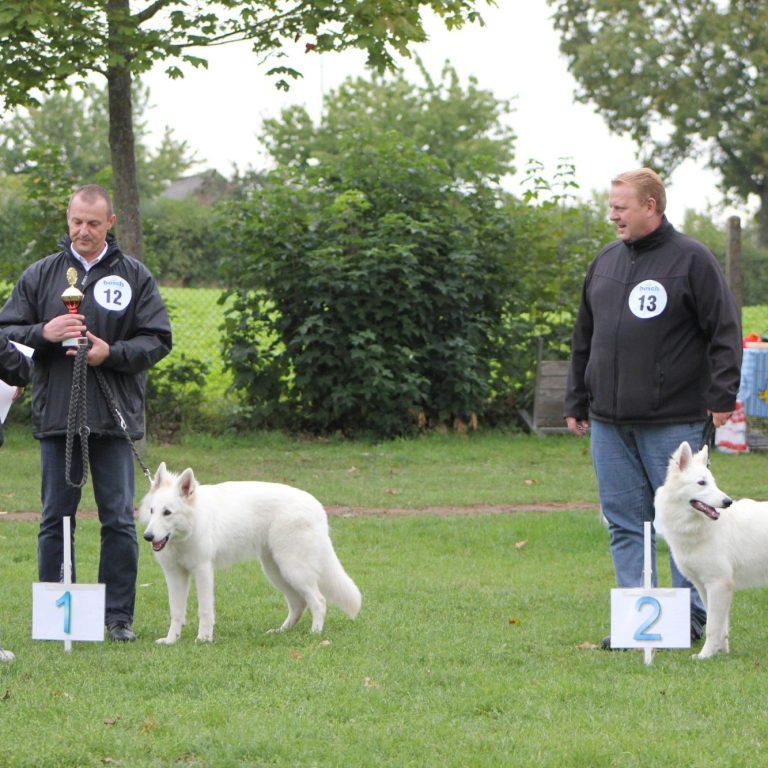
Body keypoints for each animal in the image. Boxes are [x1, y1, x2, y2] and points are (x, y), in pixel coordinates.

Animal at [139, 464, 364, 644]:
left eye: (167, 512)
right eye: (152, 511)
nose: (147, 537)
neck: (187, 530)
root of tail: (317, 507)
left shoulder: (203, 571)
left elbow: (205, 610)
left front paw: (203, 639)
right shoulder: (175, 575)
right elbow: (176, 612)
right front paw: (171, 640)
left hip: (293, 570)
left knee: (319, 601)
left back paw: (315, 633)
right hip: (276, 572)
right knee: (298, 603)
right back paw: (281, 632)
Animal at [652, 444, 768, 660]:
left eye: (712, 482)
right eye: (702, 483)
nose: (728, 502)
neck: (700, 527)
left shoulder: (719, 584)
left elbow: (713, 626)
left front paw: (704, 655)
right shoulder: (704, 586)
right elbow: (721, 625)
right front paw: (720, 653)